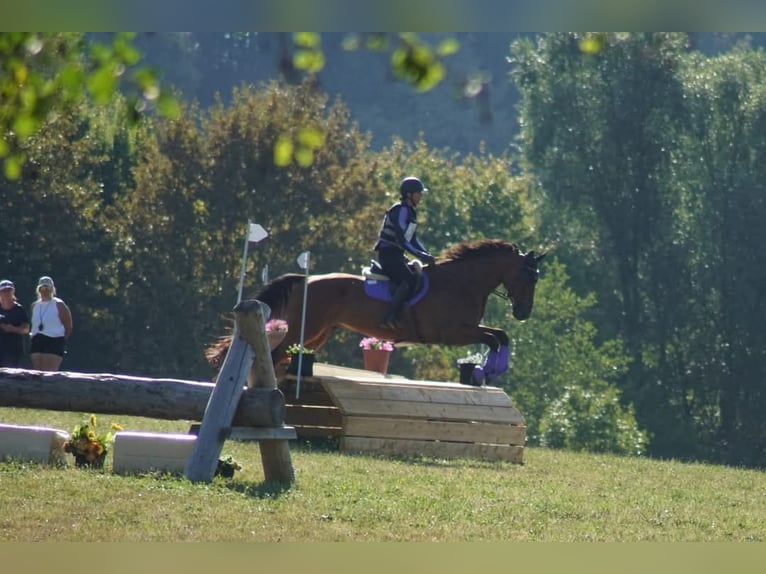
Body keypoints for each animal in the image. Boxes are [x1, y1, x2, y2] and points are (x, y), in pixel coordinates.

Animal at [207, 238, 548, 382]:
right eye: (529, 277)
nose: (523, 313)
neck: (463, 282)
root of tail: (305, 279)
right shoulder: (454, 333)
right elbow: (493, 339)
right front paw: (487, 370)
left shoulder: (465, 331)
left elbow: (500, 335)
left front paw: (491, 370)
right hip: (304, 327)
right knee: (276, 353)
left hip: (318, 333)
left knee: (284, 355)